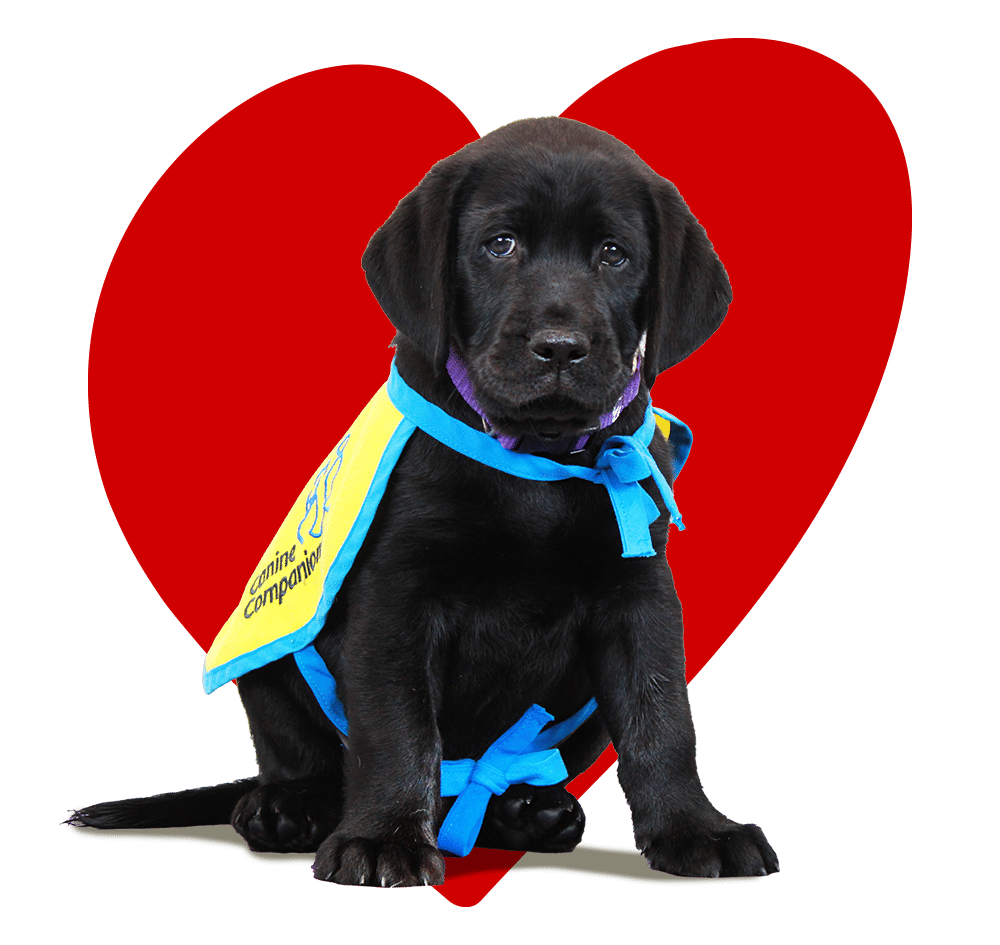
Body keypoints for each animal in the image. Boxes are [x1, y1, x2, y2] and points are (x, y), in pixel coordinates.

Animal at [68, 116, 780, 884]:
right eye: (500, 244)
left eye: (614, 255)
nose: (560, 347)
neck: (535, 459)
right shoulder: (396, 597)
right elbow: (397, 726)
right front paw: (382, 837)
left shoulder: (638, 595)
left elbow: (662, 720)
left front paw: (696, 827)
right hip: (270, 667)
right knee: (306, 759)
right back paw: (286, 808)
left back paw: (526, 809)